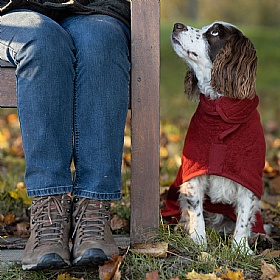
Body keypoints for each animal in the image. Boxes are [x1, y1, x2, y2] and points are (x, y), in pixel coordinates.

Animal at [172, 22, 266, 254]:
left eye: (214, 32)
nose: (177, 25)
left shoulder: (248, 179)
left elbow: (244, 217)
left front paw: (240, 250)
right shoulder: (193, 174)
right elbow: (195, 211)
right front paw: (198, 242)